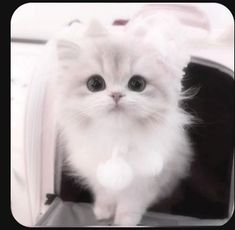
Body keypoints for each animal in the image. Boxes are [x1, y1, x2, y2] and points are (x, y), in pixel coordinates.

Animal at [54, 18, 193, 226]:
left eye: (137, 84)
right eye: (95, 84)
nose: (116, 95)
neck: (116, 137)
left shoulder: (143, 183)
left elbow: (130, 204)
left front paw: (124, 221)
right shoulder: (98, 175)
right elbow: (105, 195)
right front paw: (102, 212)